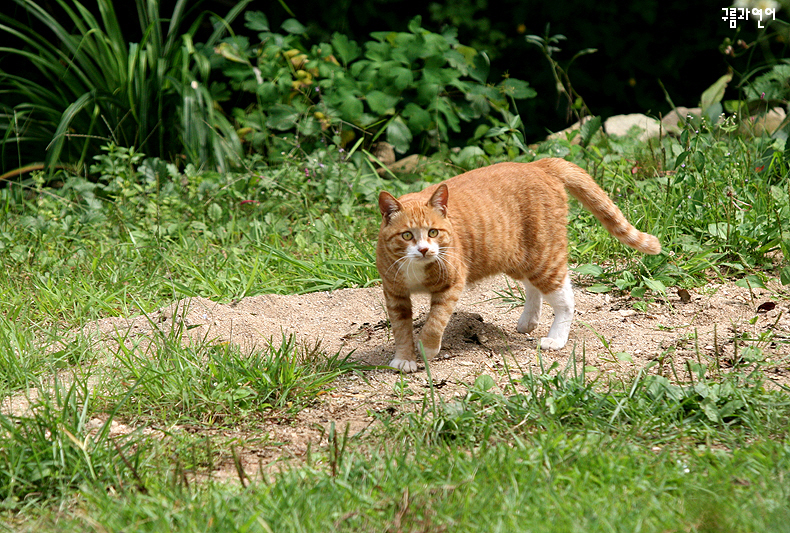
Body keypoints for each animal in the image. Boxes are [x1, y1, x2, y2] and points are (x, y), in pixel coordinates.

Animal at [378, 158, 664, 372]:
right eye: (407, 235)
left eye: (433, 232)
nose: (424, 249)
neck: (415, 267)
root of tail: (538, 163)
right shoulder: (395, 294)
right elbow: (401, 329)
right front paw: (404, 359)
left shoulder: (451, 285)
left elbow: (434, 322)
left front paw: (427, 350)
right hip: (518, 257)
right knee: (533, 287)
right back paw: (529, 320)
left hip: (543, 256)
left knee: (565, 297)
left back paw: (556, 339)